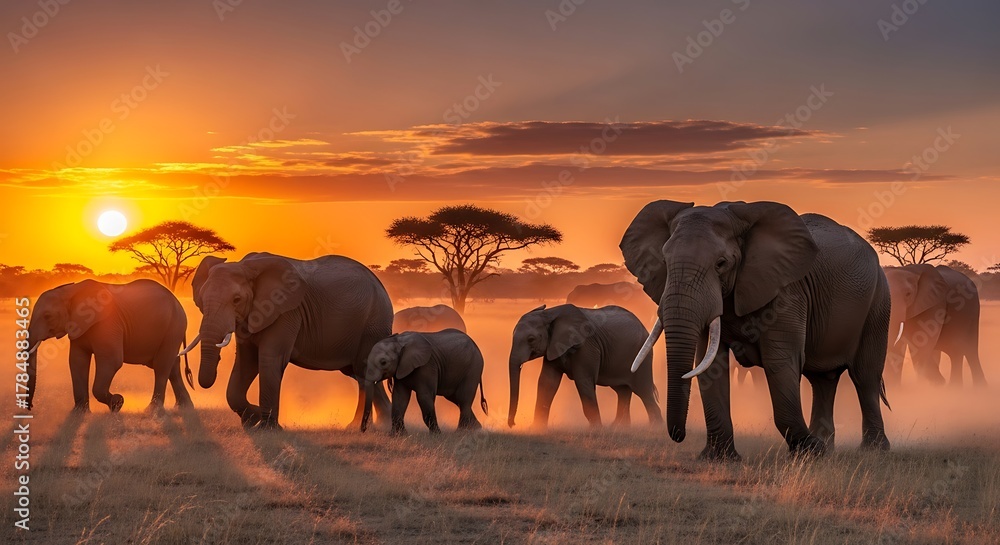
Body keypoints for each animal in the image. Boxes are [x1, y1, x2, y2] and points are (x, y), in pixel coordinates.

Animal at [25, 279, 193, 413]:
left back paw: (152, 410)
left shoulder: (107, 324)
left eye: (47, 316)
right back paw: (184, 408)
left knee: (161, 365)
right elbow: (77, 361)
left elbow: (111, 361)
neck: (72, 291)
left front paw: (118, 403)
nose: (30, 406)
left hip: (174, 326)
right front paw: (79, 413)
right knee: (172, 365)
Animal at [186, 252, 393, 430]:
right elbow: (246, 361)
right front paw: (251, 420)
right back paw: (376, 428)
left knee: (364, 371)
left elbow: (269, 359)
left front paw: (266, 428)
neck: (247, 266)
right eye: (201, 300)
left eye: (236, 299)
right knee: (361, 375)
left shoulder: (286, 312)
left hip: (373, 324)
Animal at [508, 304, 663, 429]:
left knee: (644, 391)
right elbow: (547, 383)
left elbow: (584, 382)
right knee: (623, 391)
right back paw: (620, 428)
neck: (551, 313)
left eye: (531, 339)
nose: (513, 424)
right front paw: (537, 429)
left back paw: (654, 429)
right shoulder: (553, 347)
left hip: (642, 357)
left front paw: (597, 431)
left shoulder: (586, 347)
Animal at [621, 200, 891, 460]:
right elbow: (710, 365)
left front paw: (810, 452)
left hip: (879, 301)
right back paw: (827, 445)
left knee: (865, 376)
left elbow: (779, 362)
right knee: (822, 380)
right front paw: (719, 458)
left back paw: (873, 450)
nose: (679, 436)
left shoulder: (786, 293)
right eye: (665, 262)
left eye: (721, 264)